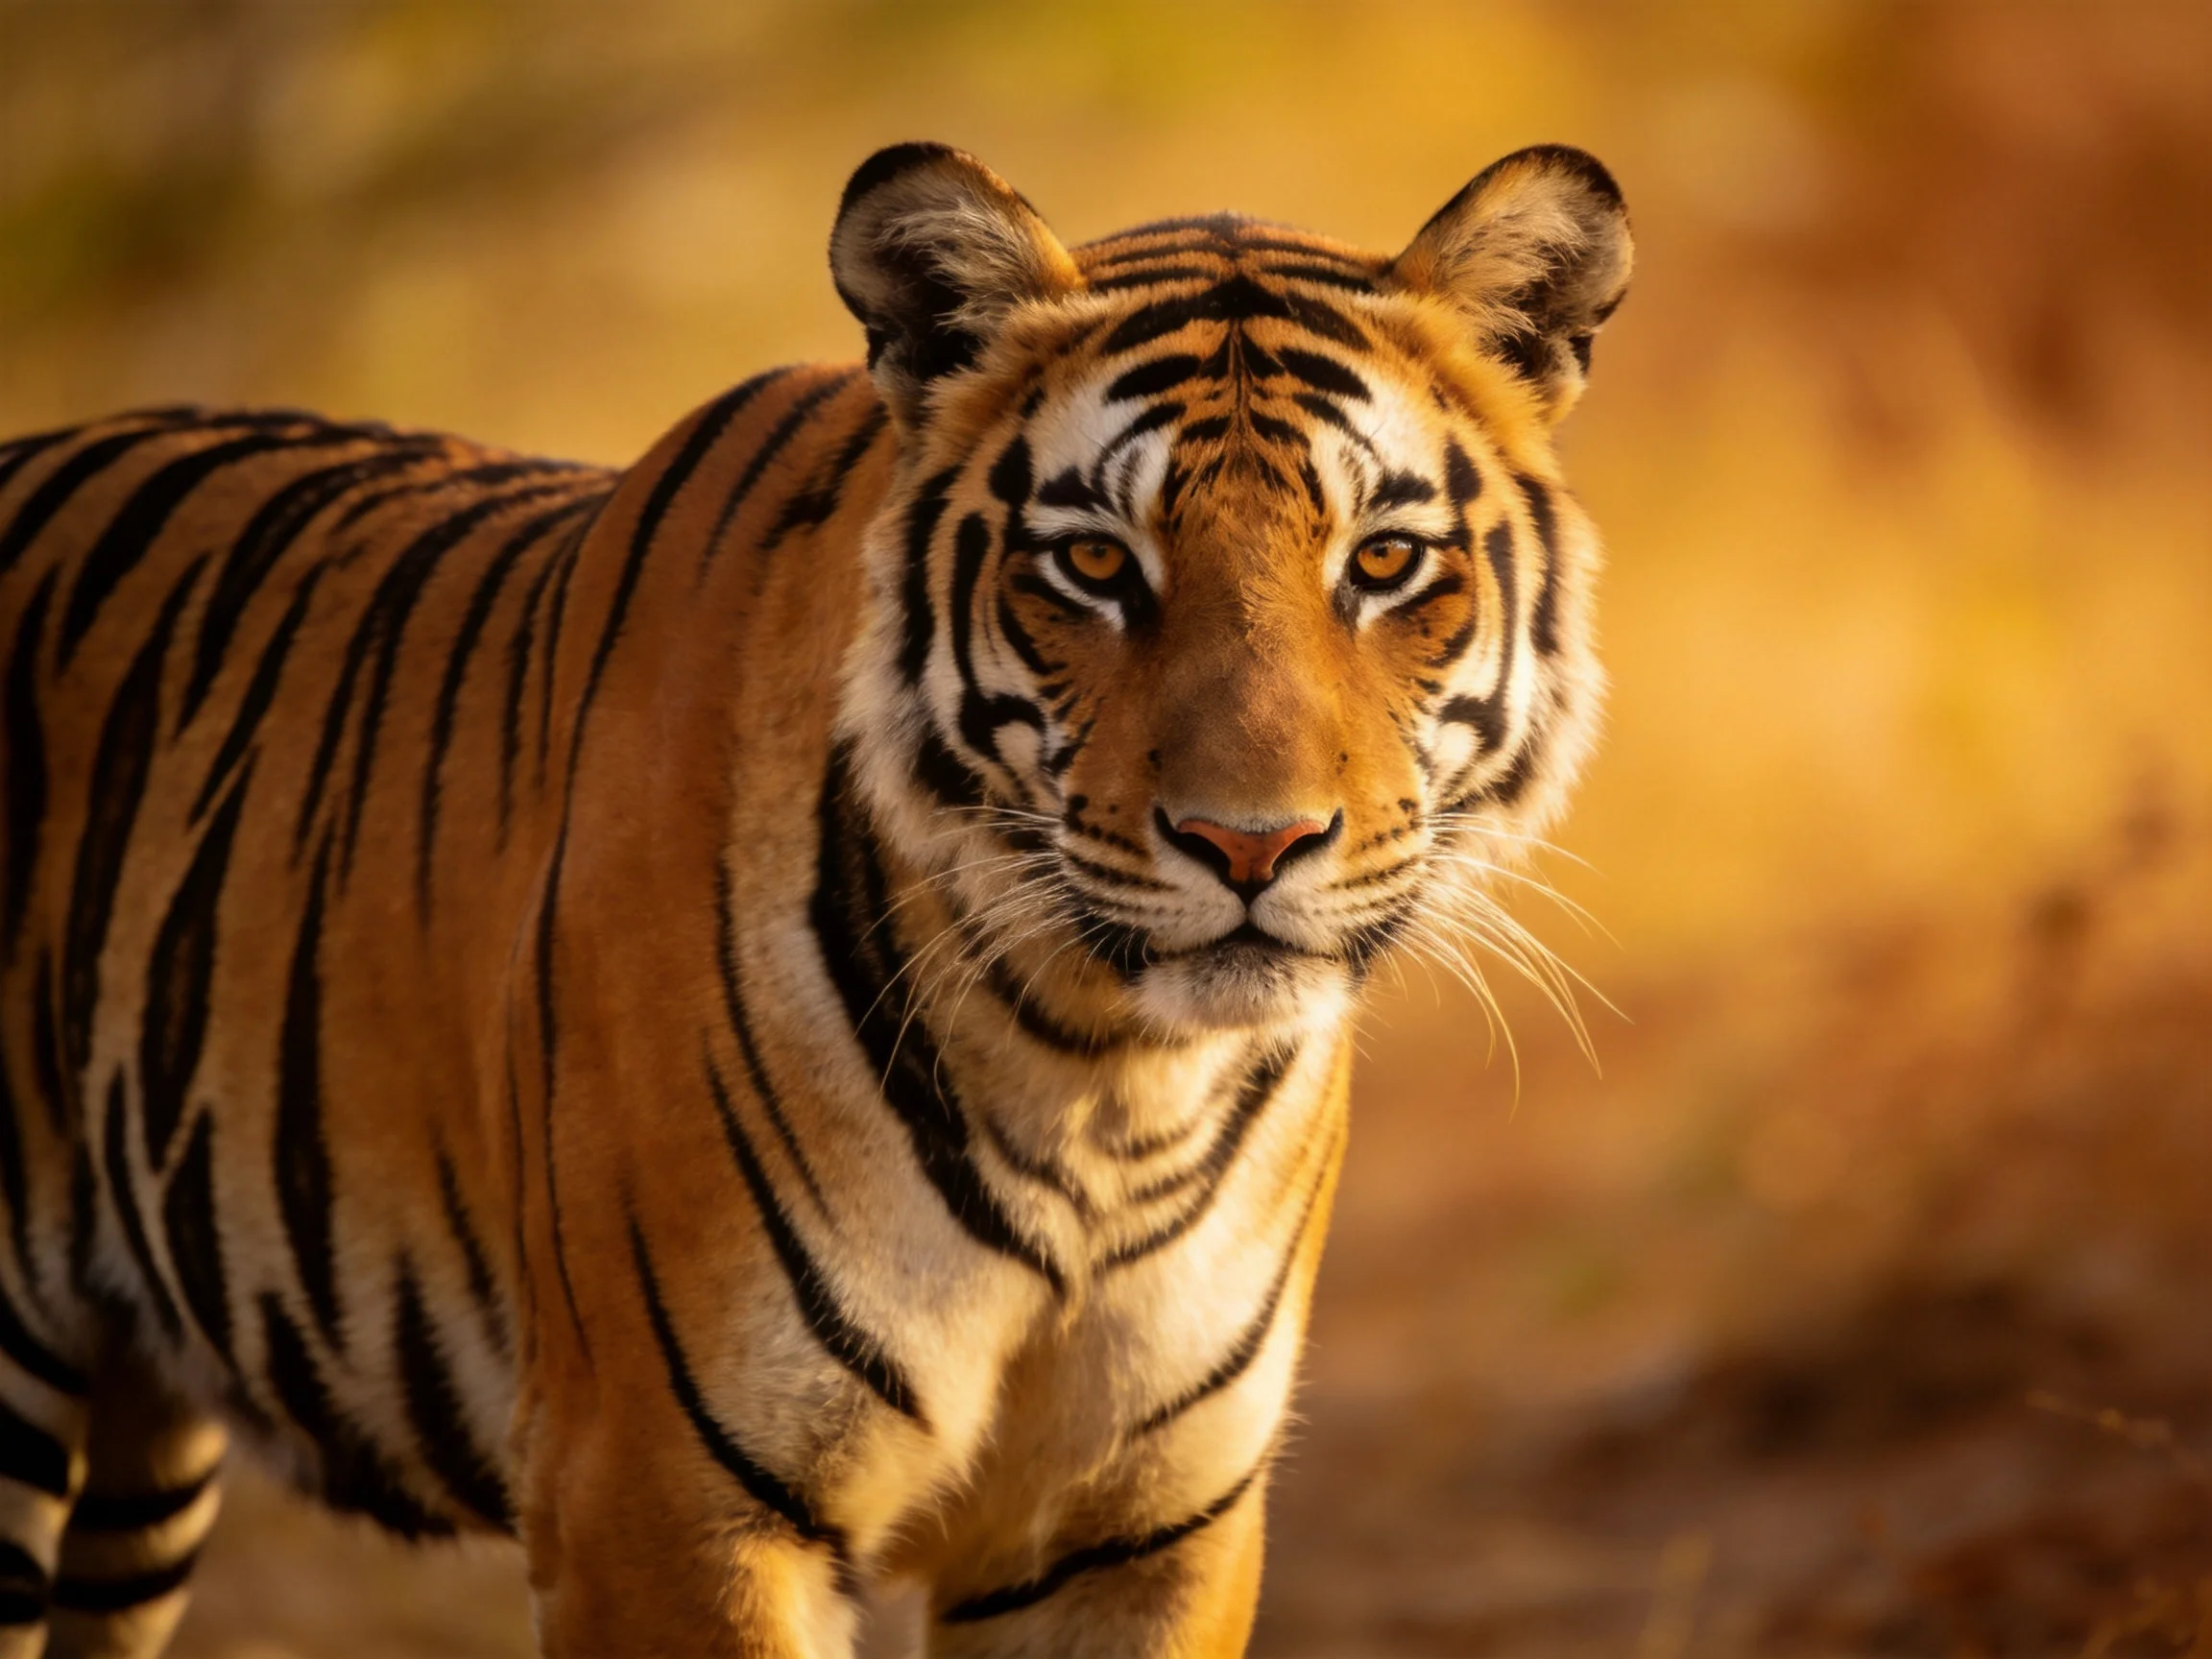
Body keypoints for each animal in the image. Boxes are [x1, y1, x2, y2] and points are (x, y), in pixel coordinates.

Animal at [0, 141, 1629, 1656]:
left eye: (1386, 560)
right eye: (1095, 563)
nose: (1252, 843)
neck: (1103, 1083)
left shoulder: (1135, 1530)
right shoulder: (661, 1495)